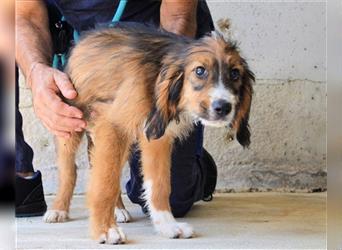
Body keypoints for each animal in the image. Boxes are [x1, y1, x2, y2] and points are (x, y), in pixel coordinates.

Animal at [42, 24, 254, 244]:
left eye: (235, 73)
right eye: (200, 71)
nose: (224, 107)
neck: (157, 75)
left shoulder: (157, 138)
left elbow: (159, 185)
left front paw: (167, 226)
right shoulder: (113, 125)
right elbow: (105, 184)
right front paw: (105, 230)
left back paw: (118, 209)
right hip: (69, 124)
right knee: (70, 171)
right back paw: (58, 209)